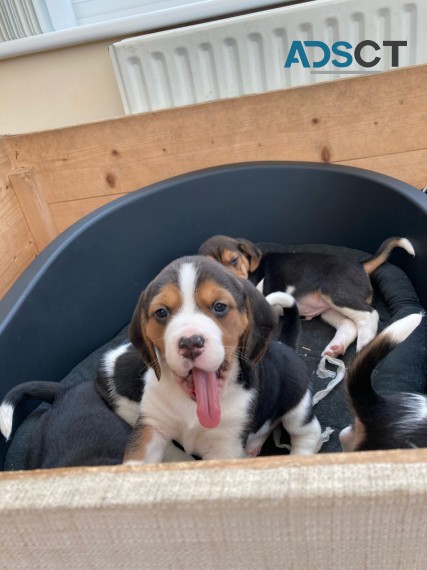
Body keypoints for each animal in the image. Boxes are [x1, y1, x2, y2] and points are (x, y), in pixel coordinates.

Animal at [120, 254, 320, 462]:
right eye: (161, 312)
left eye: (219, 306)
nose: (190, 343)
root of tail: (285, 344)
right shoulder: (151, 426)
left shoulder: (225, 447)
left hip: (298, 406)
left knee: (308, 433)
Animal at [199, 233, 416, 358]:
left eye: (234, 260)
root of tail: (360, 265)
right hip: (329, 310)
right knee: (349, 324)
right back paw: (336, 347)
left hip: (336, 292)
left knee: (369, 315)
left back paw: (365, 343)